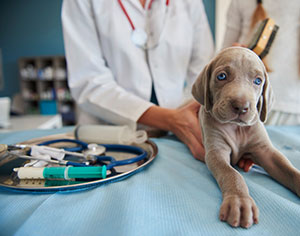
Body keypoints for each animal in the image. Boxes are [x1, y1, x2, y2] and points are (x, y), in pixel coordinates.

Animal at [192, 46, 300, 229]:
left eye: (258, 81)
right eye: (221, 76)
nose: (241, 106)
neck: (237, 129)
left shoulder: (266, 151)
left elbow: (289, 170)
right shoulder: (216, 152)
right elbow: (231, 173)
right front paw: (240, 201)